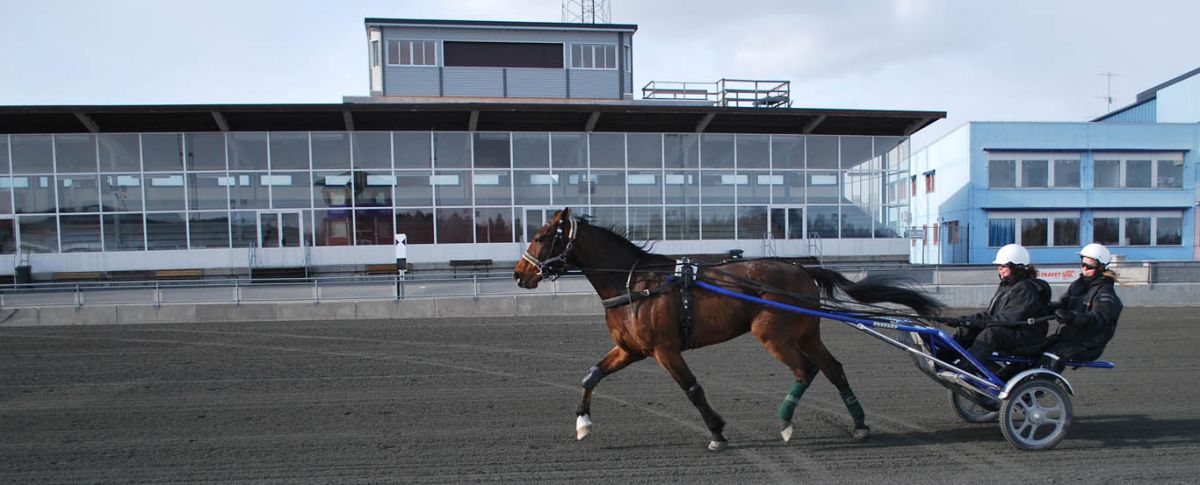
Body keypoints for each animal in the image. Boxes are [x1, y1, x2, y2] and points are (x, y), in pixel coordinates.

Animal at [511, 206, 940, 448]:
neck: (636, 283)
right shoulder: (632, 349)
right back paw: (860, 424)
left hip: (772, 333)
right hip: (806, 332)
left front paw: (717, 432)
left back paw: (786, 422)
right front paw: (582, 424)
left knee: (806, 369)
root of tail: (803, 268)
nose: (519, 274)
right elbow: (591, 375)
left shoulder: (665, 350)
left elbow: (692, 389)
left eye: (541, 236)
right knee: (832, 369)